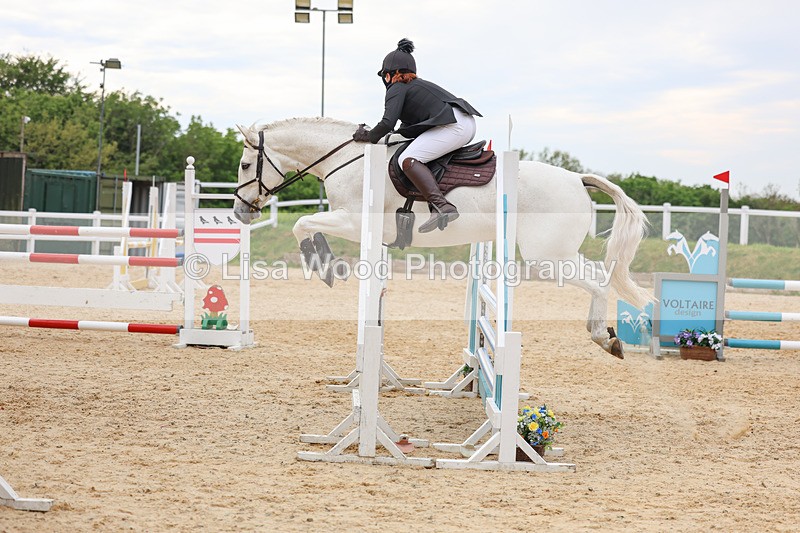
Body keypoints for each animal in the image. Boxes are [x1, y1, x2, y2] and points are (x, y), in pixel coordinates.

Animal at [233, 117, 652, 358]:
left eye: (246, 164)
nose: (240, 211)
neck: (348, 161)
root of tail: (576, 179)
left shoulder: (353, 221)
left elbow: (302, 224)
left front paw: (324, 265)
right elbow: (306, 224)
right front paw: (325, 264)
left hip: (546, 255)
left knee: (597, 282)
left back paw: (603, 337)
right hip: (556, 252)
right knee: (600, 275)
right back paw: (608, 336)